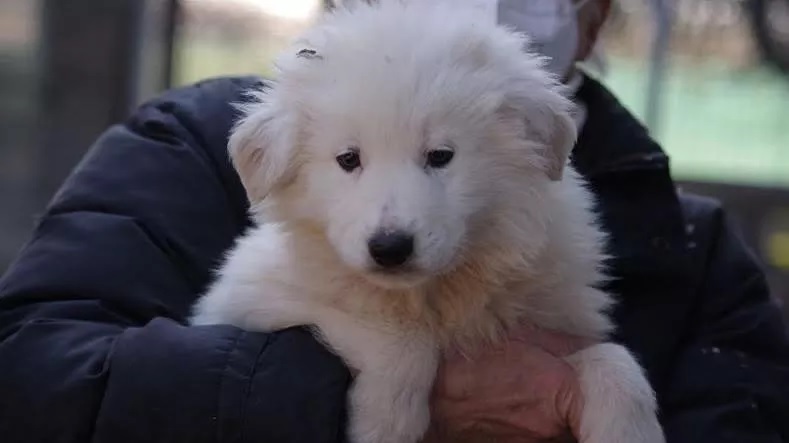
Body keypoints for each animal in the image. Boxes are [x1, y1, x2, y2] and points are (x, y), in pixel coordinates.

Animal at [191, 0, 664, 443]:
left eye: (440, 156)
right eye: (348, 159)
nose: (390, 248)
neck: (438, 294)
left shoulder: (562, 321)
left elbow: (614, 358)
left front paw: (629, 427)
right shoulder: (247, 296)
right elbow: (397, 336)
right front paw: (385, 421)